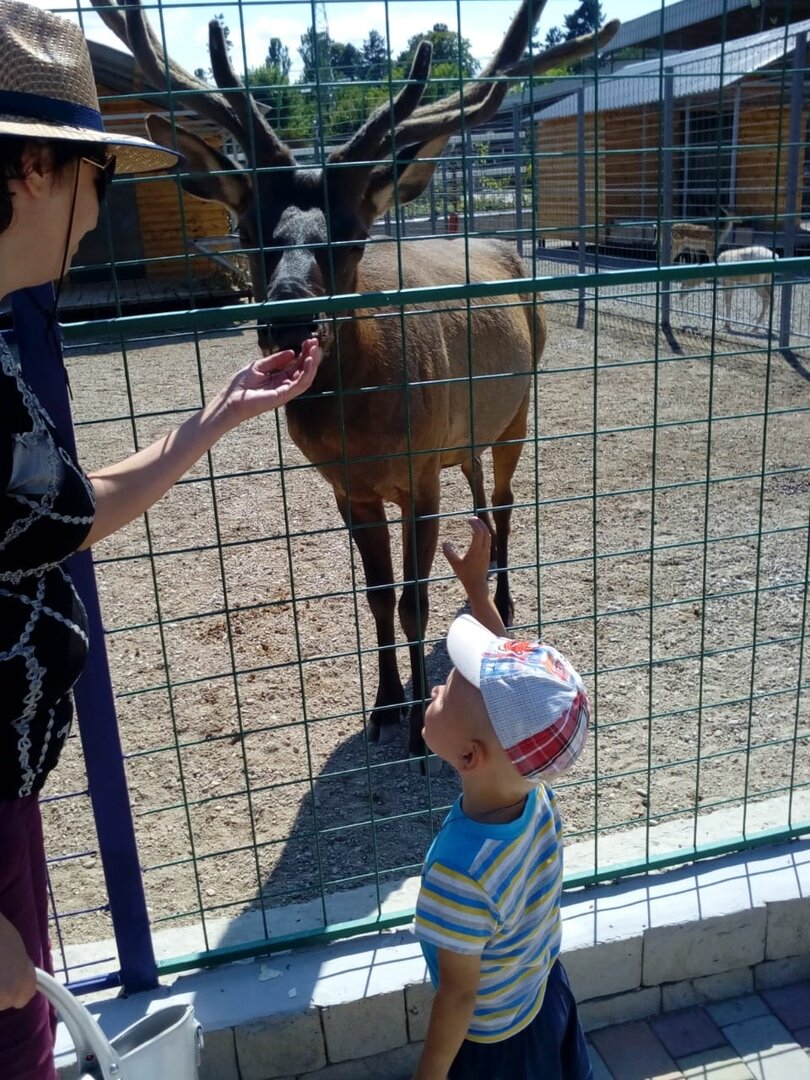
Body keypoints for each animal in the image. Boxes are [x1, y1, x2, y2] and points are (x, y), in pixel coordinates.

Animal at [90, 0, 622, 764]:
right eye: (249, 229)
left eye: (351, 234)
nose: (288, 318)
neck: (365, 430)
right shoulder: (351, 489)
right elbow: (375, 597)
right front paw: (383, 706)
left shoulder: (418, 475)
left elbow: (413, 600)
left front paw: (421, 731)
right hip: (464, 431)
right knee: (479, 499)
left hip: (519, 407)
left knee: (506, 497)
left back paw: (506, 602)